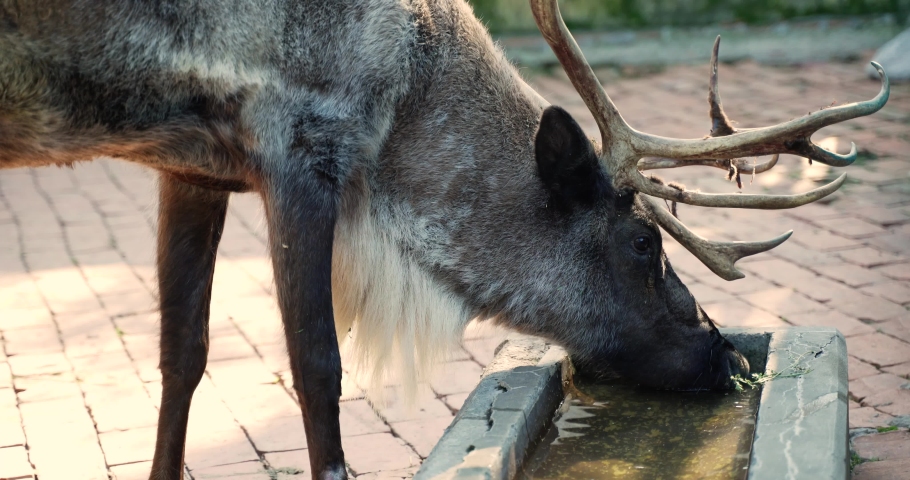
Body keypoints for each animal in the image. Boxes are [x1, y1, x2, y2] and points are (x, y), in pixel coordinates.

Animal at [0, 0, 889, 479]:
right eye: (643, 244)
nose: (724, 353)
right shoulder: (301, 146)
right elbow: (318, 370)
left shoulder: (187, 165)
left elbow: (180, 356)